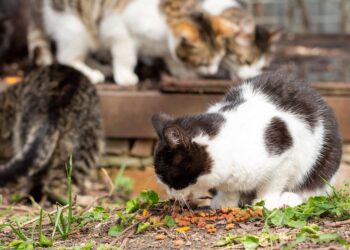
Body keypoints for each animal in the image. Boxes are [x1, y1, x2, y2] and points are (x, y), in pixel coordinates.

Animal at [28, 0, 235, 85]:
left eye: (219, 59)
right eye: (205, 62)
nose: (213, 71)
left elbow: (172, 58)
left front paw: (183, 72)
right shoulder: (120, 31)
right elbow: (126, 57)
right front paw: (125, 77)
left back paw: (102, 68)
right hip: (75, 30)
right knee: (66, 58)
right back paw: (91, 74)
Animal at [152, 72, 342, 209]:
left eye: (168, 179)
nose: (171, 196)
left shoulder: (285, 156)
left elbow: (272, 183)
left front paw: (265, 202)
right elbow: (229, 190)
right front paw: (226, 202)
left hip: (326, 158)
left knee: (315, 188)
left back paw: (290, 198)